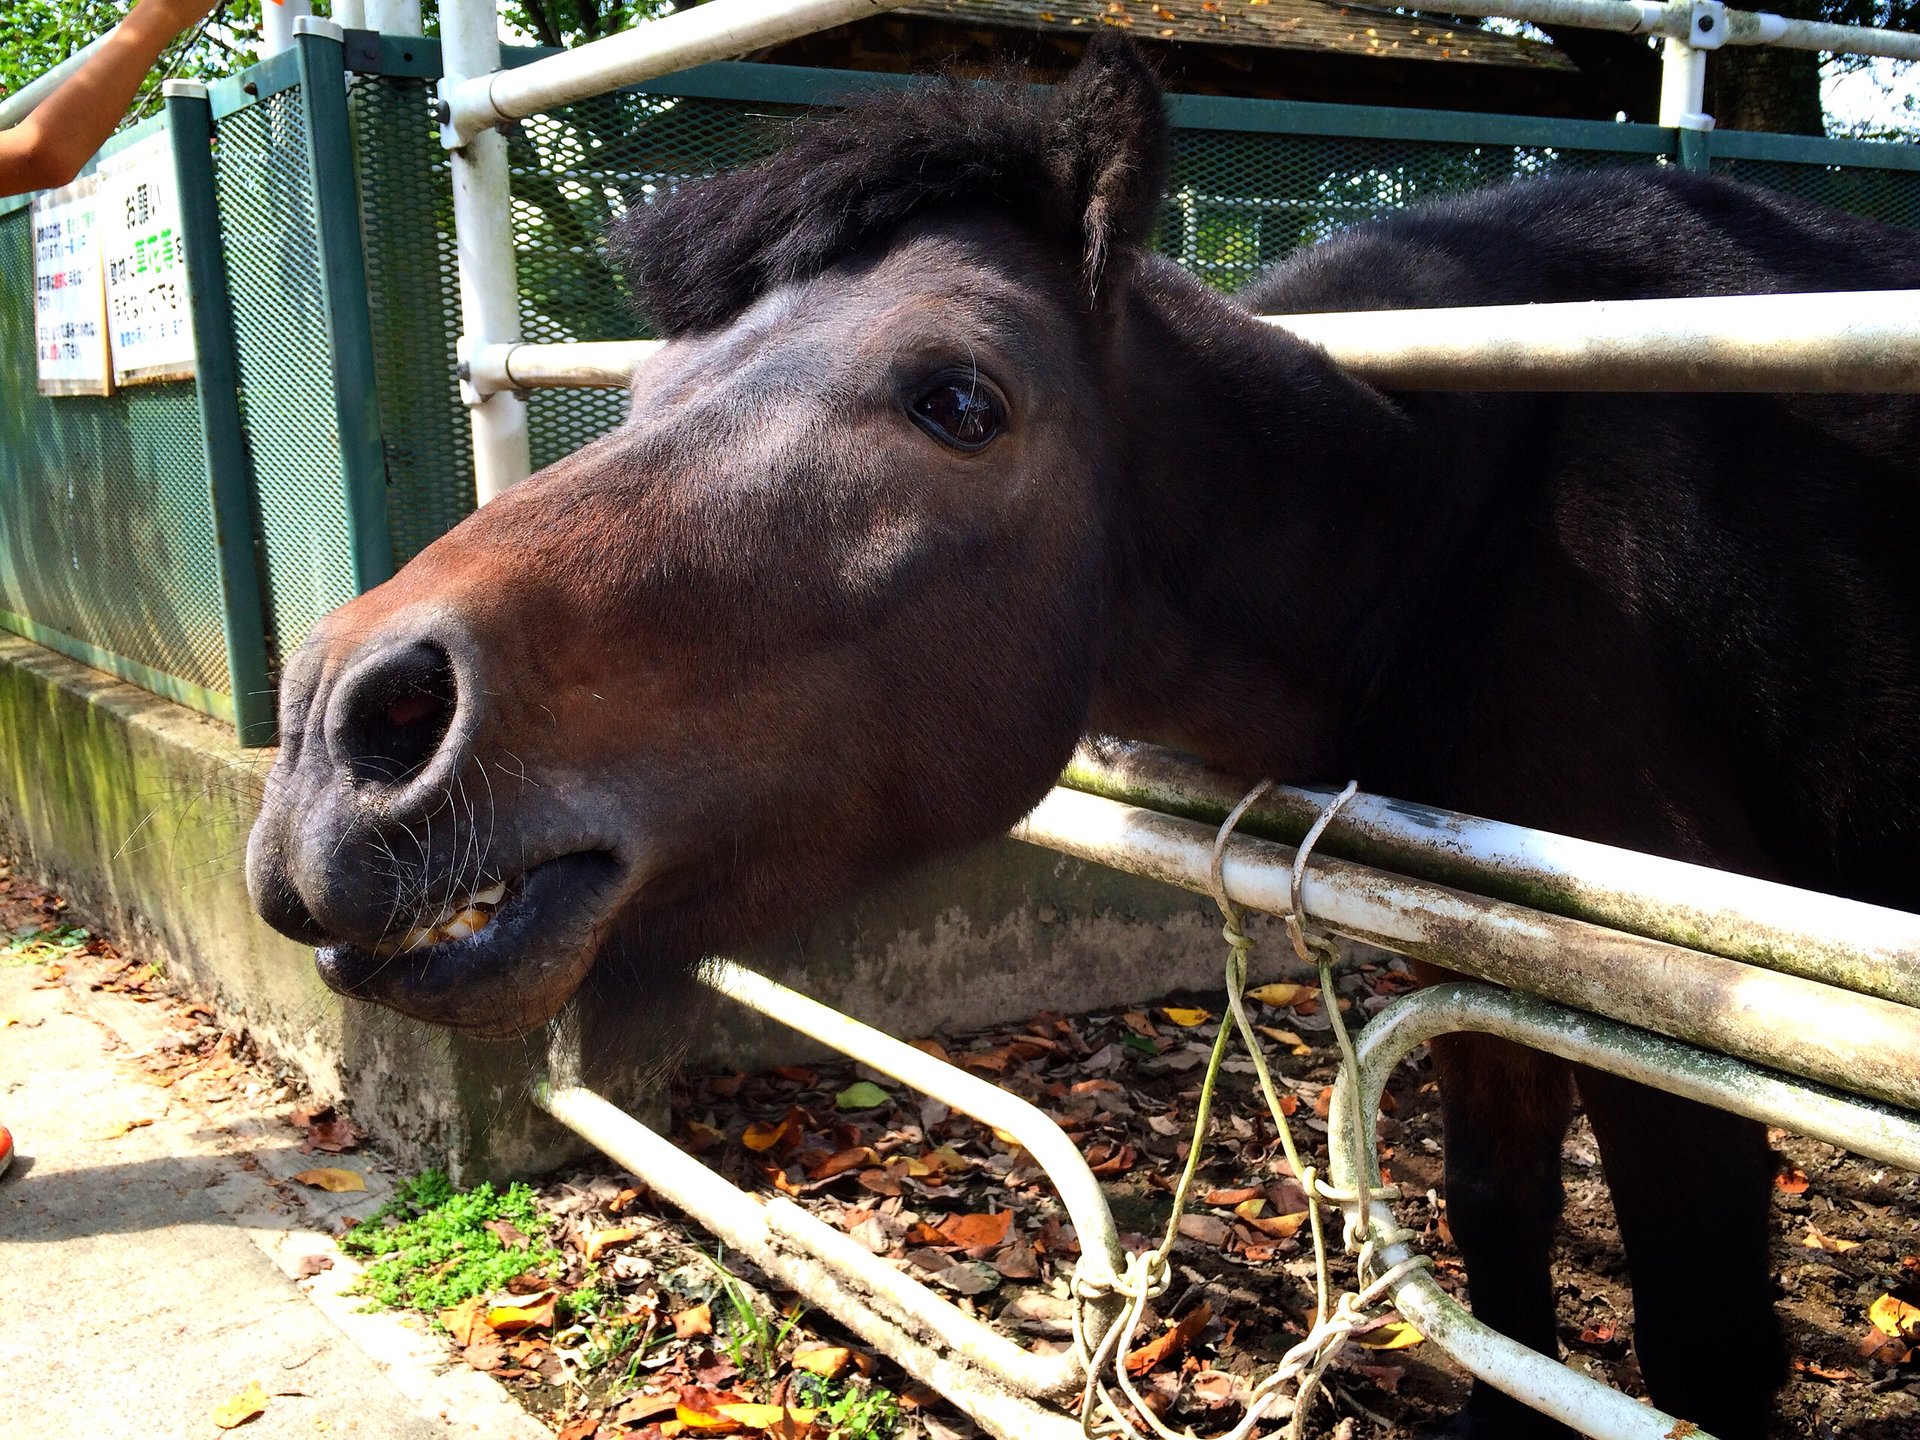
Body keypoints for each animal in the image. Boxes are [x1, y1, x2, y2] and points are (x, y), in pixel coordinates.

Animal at [247, 36, 1920, 1440]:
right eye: (649, 387)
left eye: (959, 400)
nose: (340, 729)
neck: (1450, 523)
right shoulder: (1483, 961)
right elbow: (1500, 1249)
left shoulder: (1673, 1017)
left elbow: (1698, 1345)